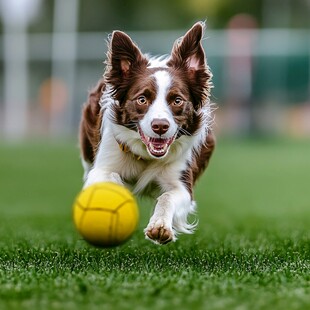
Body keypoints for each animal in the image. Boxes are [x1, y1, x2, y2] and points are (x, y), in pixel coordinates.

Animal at [80, 22, 214, 245]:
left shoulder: (182, 182)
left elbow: (167, 197)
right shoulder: (103, 166)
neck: (145, 156)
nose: (160, 126)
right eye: (142, 99)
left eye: (177, 100)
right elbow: (110, 178)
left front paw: (160, 227)